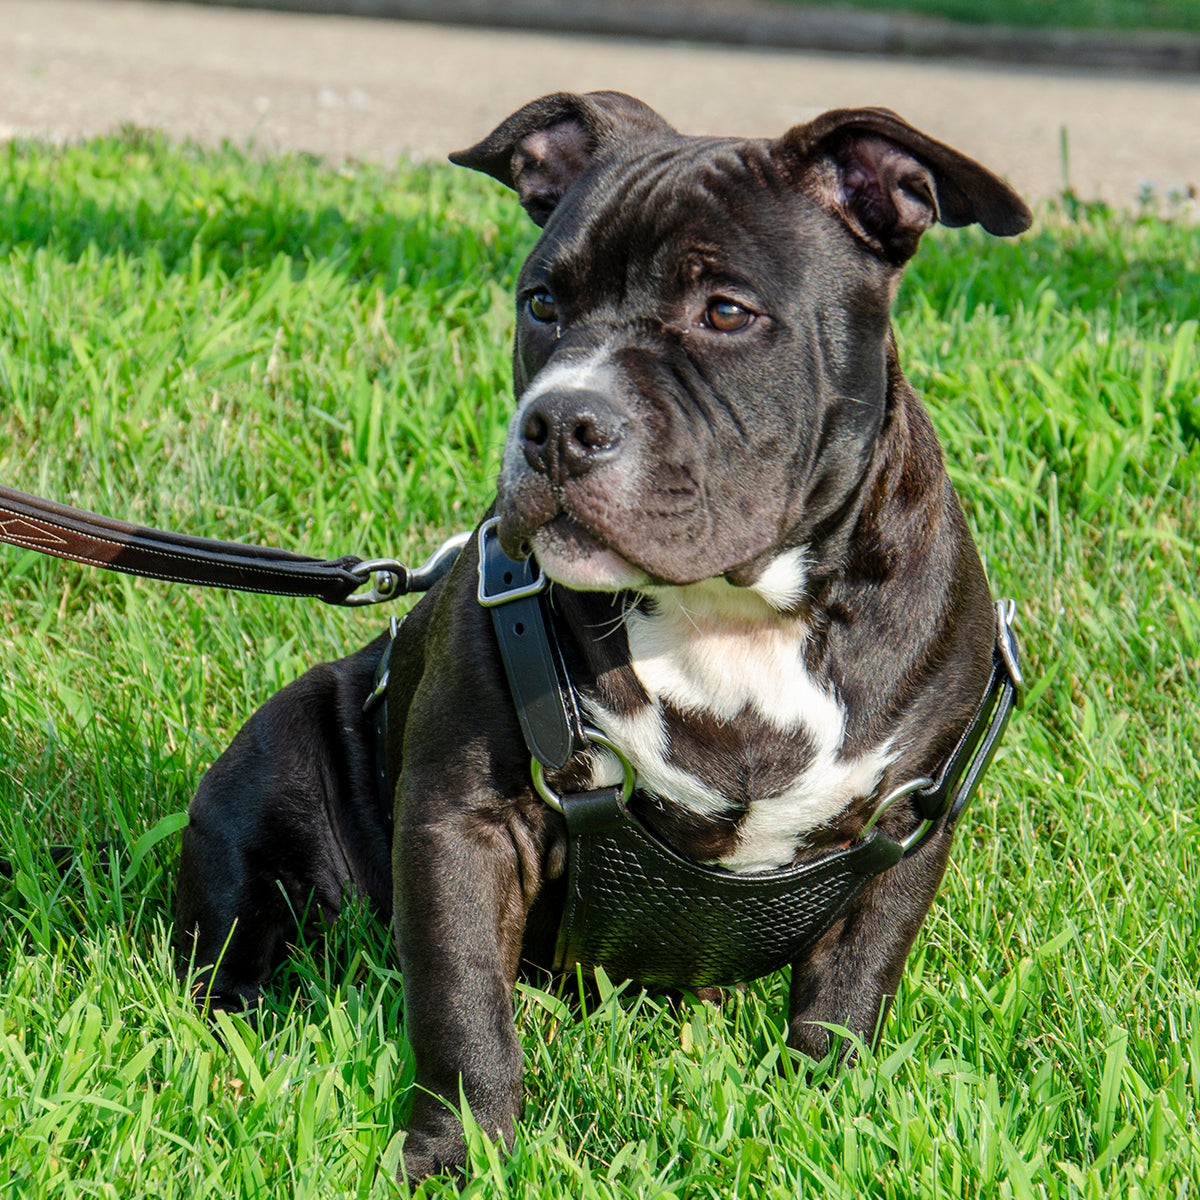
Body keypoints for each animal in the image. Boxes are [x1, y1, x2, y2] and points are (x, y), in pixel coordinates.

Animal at [175, 93, 1032, 1180]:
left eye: (726, 312)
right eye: (542, 302)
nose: (558, 423)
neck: (733, 611)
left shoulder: (910, 830)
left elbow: (850, 990)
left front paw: (830, 1118)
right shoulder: (464, 821)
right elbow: (463, 1003)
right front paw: (458, 1153)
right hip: (270, 766)